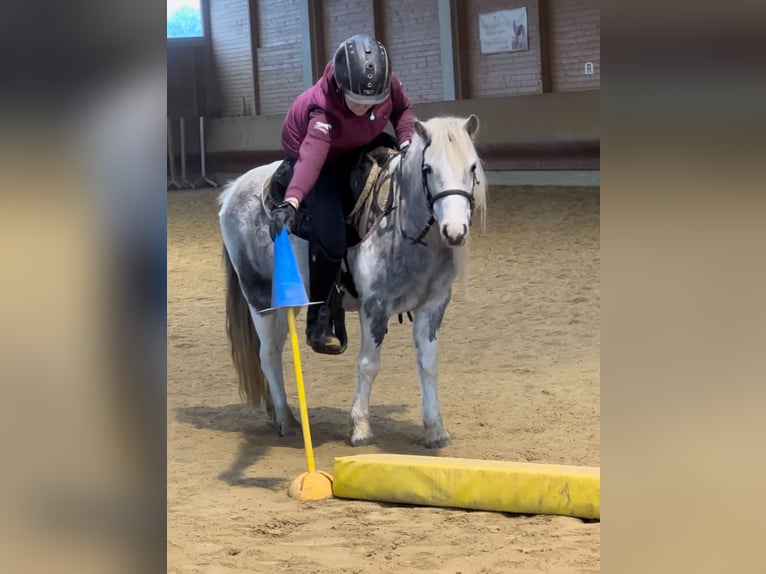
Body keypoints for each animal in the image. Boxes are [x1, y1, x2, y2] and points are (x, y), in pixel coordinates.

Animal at [219, 116, 488, 450]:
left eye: (473, 167)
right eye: (428, 168)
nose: (455, 231)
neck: (402, 228)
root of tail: (234, 189)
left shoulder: (434, 305)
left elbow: (427, 364)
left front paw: (435, 430)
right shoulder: (374, 306)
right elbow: (368, 364)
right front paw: (360, 428)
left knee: (273, 352)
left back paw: (277, 414)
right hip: (259, 295)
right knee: (268, 355)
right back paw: (287, 421)